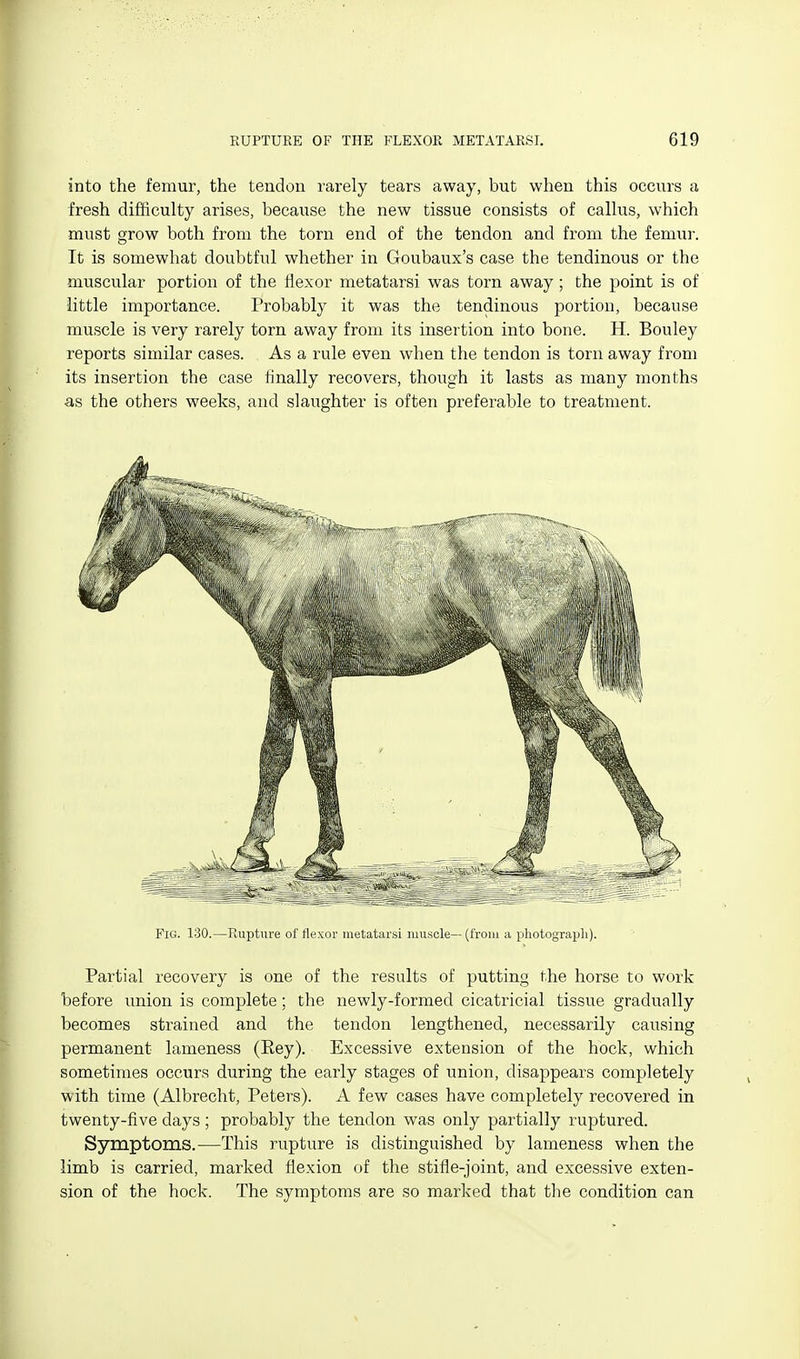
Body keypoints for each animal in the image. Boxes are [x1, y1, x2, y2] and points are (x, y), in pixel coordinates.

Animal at [78, 458, 679, 882]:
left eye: (114, 515)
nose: (88, 592)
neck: (277, 559)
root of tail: (577, 536)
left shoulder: (309, 676)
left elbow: (320, 759)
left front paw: (322, 856)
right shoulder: (282, 677)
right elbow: (273, 757)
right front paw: (251, 850)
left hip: (546, 670)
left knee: (602, 735)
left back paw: (656, 847)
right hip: (519, 670)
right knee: (542, 744)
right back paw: (519, 855)